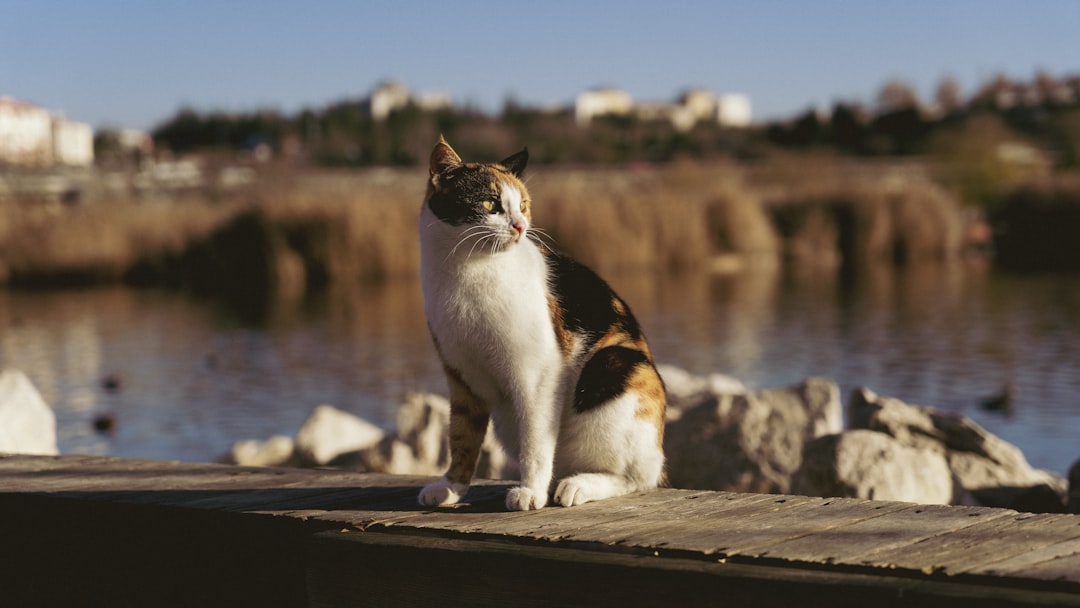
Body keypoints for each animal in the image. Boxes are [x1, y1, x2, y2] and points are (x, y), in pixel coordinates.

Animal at [414, 136, 660, 509]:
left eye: (523, 205)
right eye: (489, 203)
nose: (520, 226)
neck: (466, 271)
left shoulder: (537, 372)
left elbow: (535, 440)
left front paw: (529, 492)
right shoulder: (462, 375)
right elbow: (461, 436)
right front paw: (450, 486)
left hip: (615, 366)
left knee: (636, 478)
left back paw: (577, 485)